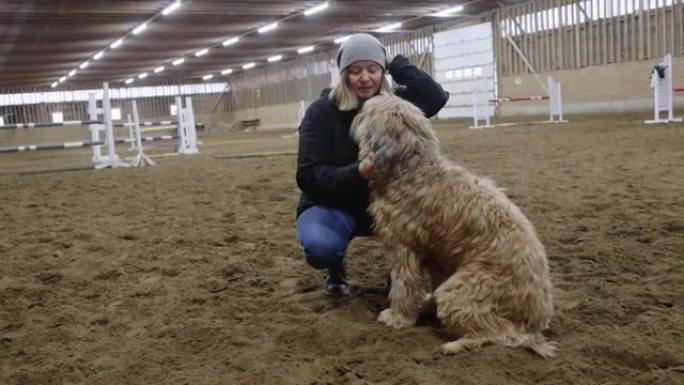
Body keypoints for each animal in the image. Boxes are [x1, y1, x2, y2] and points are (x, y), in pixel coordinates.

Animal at [352, 94, 556, 356]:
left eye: (367, 112)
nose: (357, 111)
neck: (411, 170)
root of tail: (537, 319)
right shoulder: (434, 257)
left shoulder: (403, 248)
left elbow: (404, 284)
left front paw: (398, 317)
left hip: (459, 293)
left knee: (502, 335)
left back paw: (455, 344)